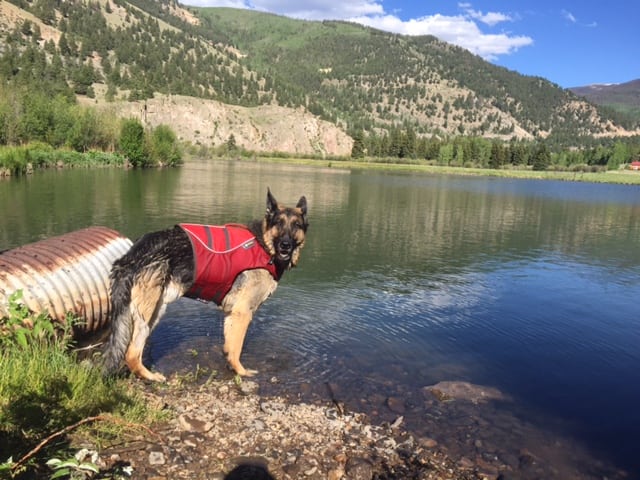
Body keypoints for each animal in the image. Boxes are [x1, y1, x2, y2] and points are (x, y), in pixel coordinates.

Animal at [102, 189, 308, 380]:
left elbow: (229, 346)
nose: (285, 245)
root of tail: (129, 257)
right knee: (131, 353)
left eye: (296, 225)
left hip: (155, 310)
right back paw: (150, 377)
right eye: (278, 223)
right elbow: (237, 348)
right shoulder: (243, 313)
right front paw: (241, 372)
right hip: (147, 313)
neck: (263, 243)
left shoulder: (232, 314)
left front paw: (232, 367)